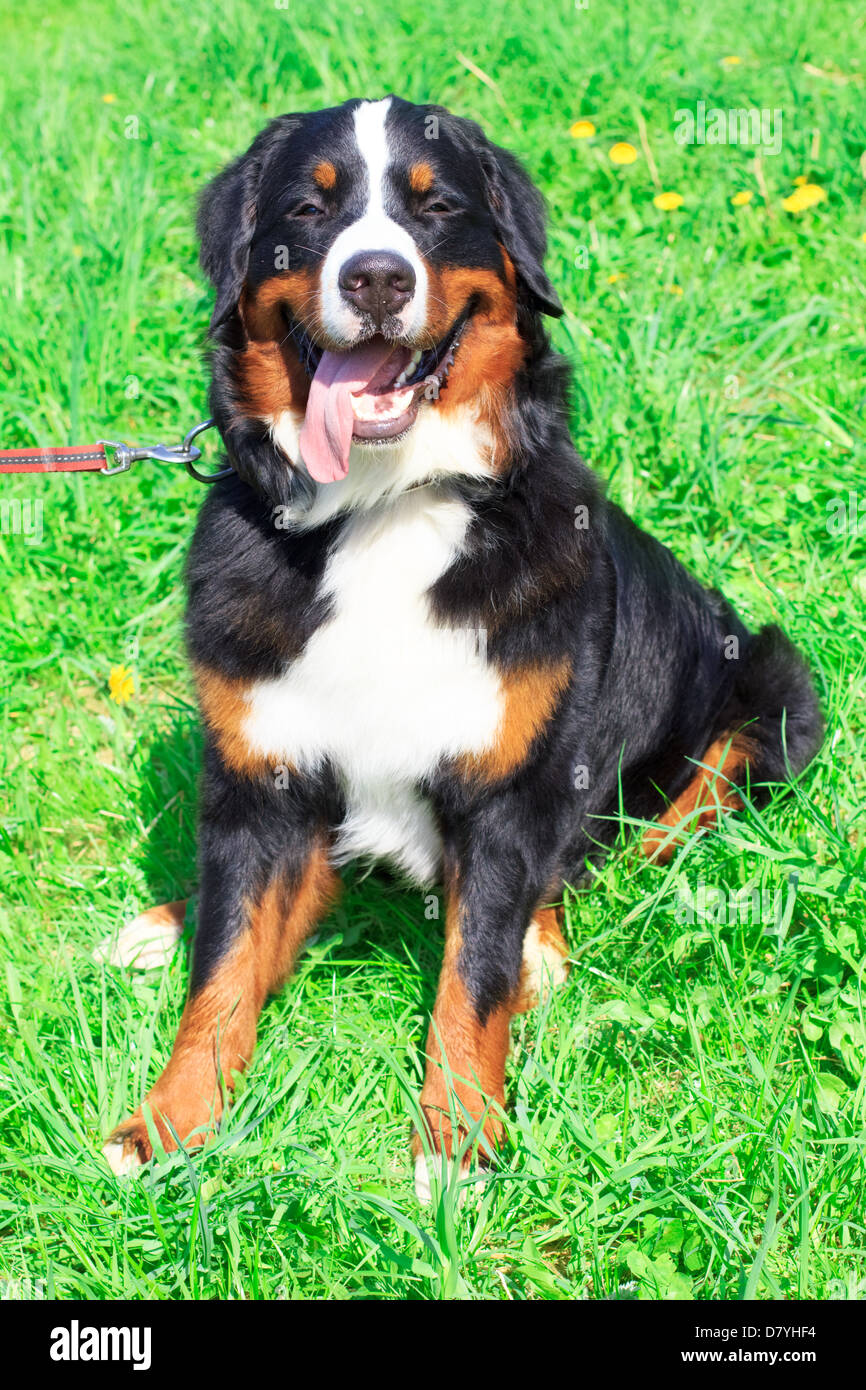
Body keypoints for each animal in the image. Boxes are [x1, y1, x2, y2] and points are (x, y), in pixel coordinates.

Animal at [100, 95, 817, 1206]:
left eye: (436, 208)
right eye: (308, 208)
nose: (376, 278)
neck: (384, 507)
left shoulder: (509, 790)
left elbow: (470, 979)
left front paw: (458, 1143)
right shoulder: (264, 775)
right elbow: (223, 966)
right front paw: (170, 1125)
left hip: (771, 693)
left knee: (638, 834)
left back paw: (546, 941)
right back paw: (161, 922)